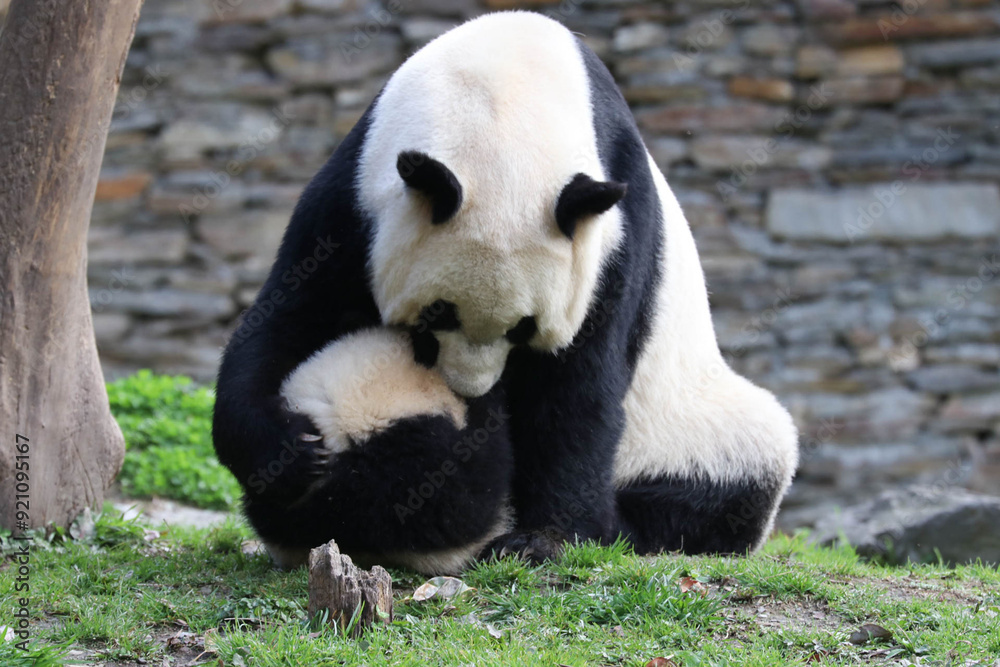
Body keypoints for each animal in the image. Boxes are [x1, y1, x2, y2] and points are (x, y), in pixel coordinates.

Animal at [212, 11, 799, 572]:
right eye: (437, 315)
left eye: (524, 329)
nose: (471, 390)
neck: (504, 95)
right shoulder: (356, 192)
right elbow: (289, 314)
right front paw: (286, 453)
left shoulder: (612, 238)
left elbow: (579, 387)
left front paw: (544, 538)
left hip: (690, 429)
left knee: (738, 473)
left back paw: (627, 528)